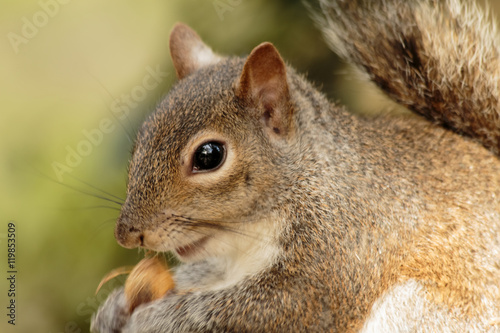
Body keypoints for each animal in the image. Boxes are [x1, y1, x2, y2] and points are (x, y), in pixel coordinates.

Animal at [92, 0, 500, 330]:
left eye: (209, 156)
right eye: (143, 135)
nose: (126, 234)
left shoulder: (335, 262)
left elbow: (256, 309)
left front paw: (154, 318)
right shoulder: (223, 262)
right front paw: (113, 309)